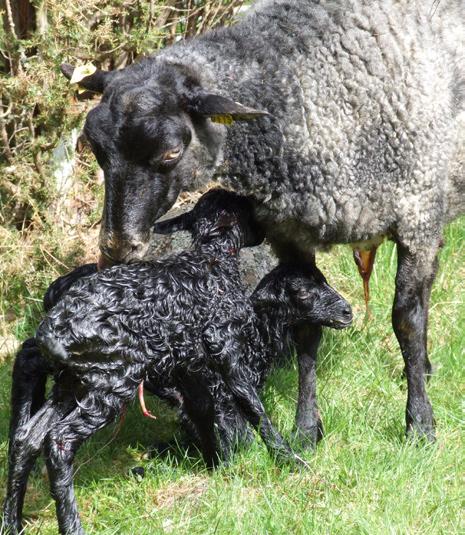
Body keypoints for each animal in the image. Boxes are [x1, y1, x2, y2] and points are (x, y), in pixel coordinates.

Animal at [59, 0, 462, 444]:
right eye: (95, 147)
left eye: (170, 152)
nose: (116, 248)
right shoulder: (293, 234)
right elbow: (305, 329)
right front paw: (306, 428)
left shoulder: (417, 216)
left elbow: (407, 321)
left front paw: (420, 424)